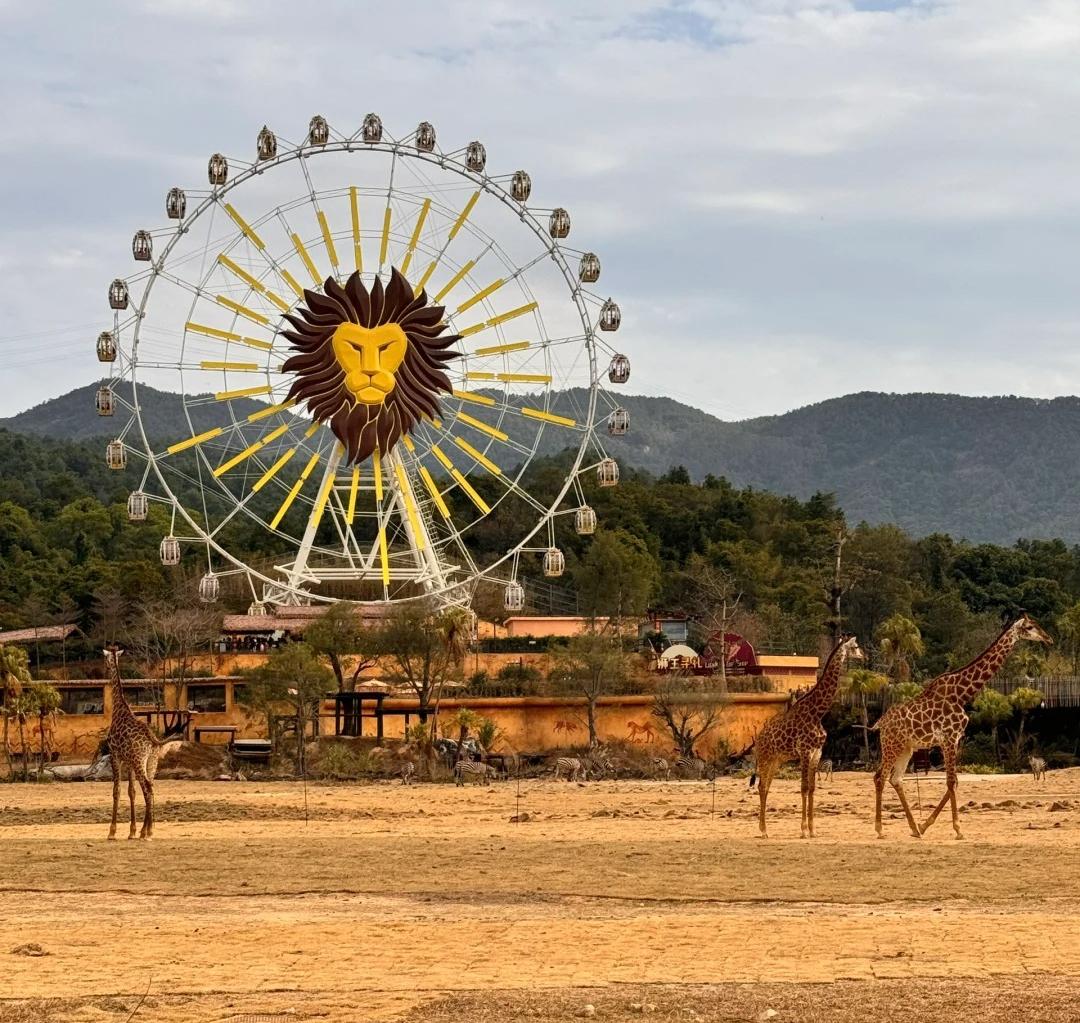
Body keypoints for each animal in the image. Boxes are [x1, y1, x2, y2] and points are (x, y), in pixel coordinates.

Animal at [102, 648, 180, 838]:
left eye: (105, 660)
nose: (105, 670)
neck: (118, 709)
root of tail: (153, 740)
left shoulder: (115, 756)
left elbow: (117, 791)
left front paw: (112, 832)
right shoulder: (129, 761)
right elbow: (132, 791)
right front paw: (132, 831)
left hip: (140, 761)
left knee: (147, 787)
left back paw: (147, 831)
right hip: (151, 761)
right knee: (150, 786)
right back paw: (147, 829)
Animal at [751, 635, 859, 842]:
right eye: (856, 646)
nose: (863, 656)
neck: (817, 713)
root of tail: (757, 741)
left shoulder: (817, 753)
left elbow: (812, 788)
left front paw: (812, 829)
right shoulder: (805, 752)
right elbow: (802, 787)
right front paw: (802, 830)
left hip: (775, 760)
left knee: (765, 787)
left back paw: (764, 829)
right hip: (765, 758)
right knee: (761, 786)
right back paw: (763, 830)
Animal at [872, 617, 1049, 838]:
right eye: (1030, 627)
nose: (1048, 638)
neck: (961, 694)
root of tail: (881, 723)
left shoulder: (955, 739)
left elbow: (954, 781)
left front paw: (925, 825)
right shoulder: (948, 738)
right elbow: (950, 781)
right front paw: (957, 829)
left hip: (906, 748)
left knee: (896, 779)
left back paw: (914, 829)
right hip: (891, 745)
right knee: (879, 777)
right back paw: (880, 829)